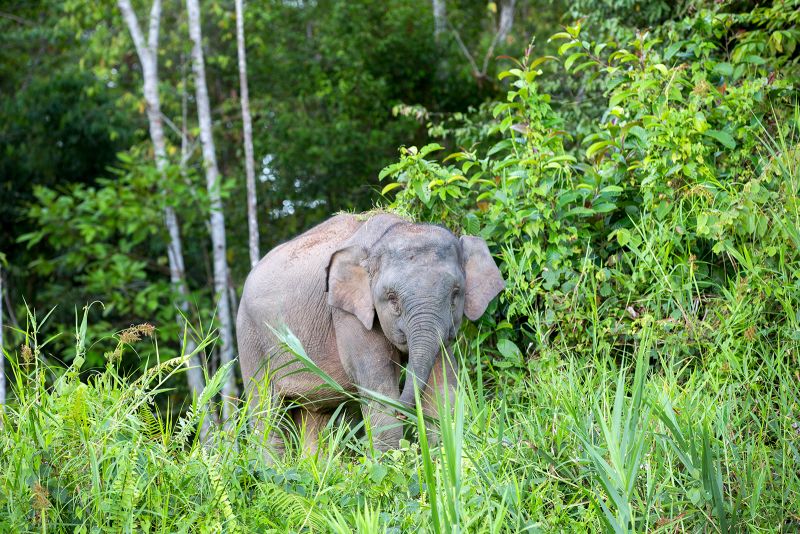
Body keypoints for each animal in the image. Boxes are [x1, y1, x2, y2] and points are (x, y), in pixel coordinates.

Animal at [236, 212, 504, 453]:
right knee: (267, 415)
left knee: (315, 420)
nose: (404, 412)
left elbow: (442, 386)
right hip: (251, 341)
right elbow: (379, 391)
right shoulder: (348, 315)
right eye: (392, 298)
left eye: (455, 293)